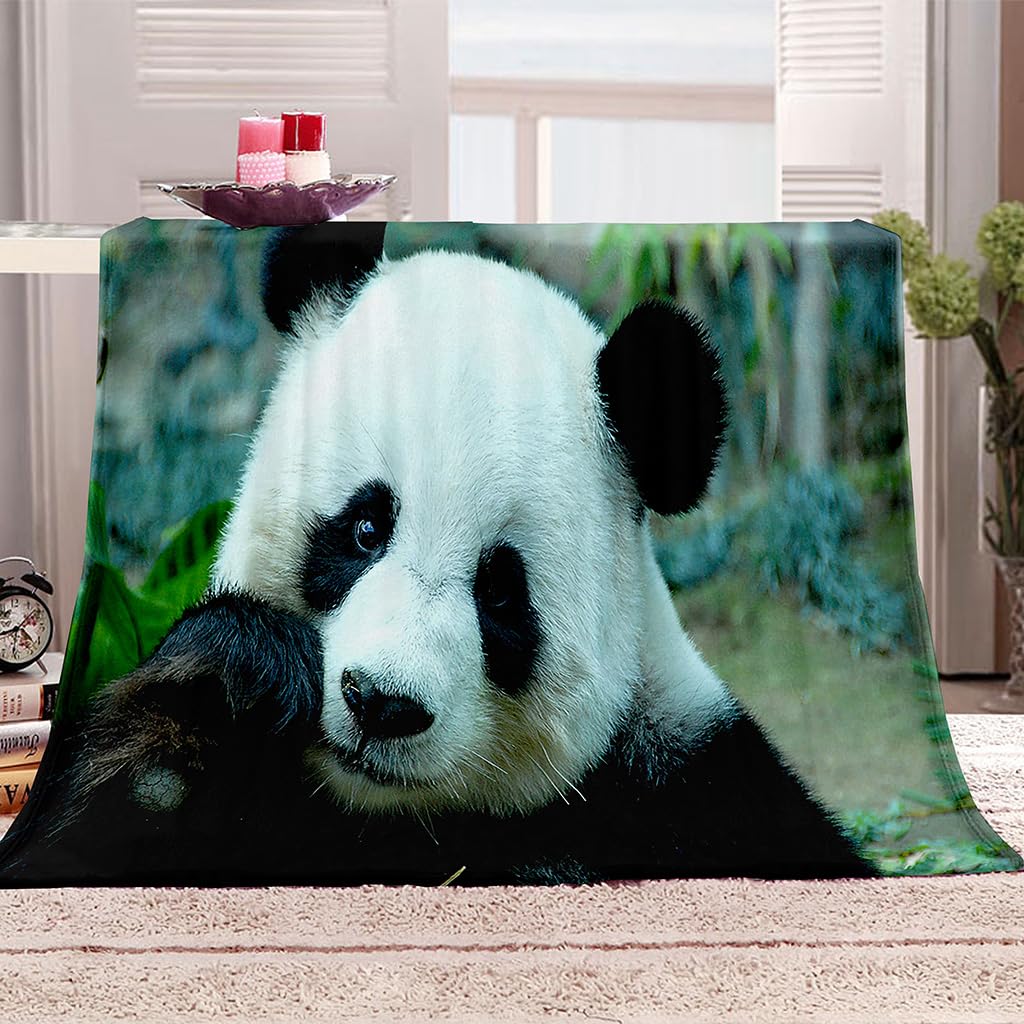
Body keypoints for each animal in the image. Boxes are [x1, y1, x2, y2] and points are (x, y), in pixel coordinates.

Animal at [0, 225, 874, 885]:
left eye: (501, 592)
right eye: (364, 530)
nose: (381, 702)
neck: (384, 819)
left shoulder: (694, 787)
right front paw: (241, 671)